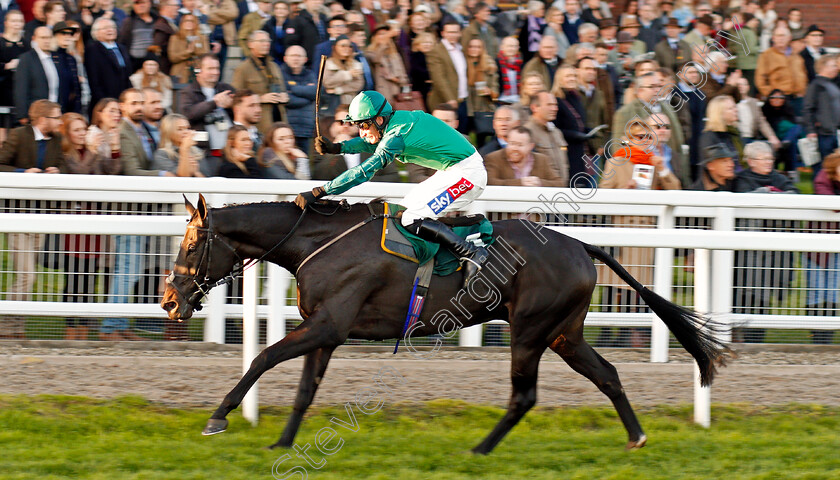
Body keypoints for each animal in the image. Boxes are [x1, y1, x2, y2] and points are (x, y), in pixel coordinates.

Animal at [161, 194, 724, 454]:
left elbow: (264, 356)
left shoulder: (329, 326)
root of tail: (580, 244)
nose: (168, 299)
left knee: (524, 395)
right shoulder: (326, 330)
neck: (316, 242)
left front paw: (218, 417)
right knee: (606, 374)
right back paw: (636, 437)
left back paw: (481, 449)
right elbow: (304, 389)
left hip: (530, 330)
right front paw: (281, 442)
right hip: (565, 333)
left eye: (190, 245)